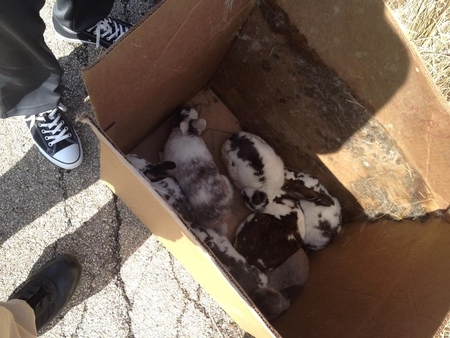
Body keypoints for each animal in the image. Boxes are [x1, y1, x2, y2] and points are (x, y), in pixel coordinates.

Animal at [163, 107, 234, 235]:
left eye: (179, 114)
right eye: (187, 111)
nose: (186, 106)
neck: (188, 133)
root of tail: (220, 220)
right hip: (225, 179)